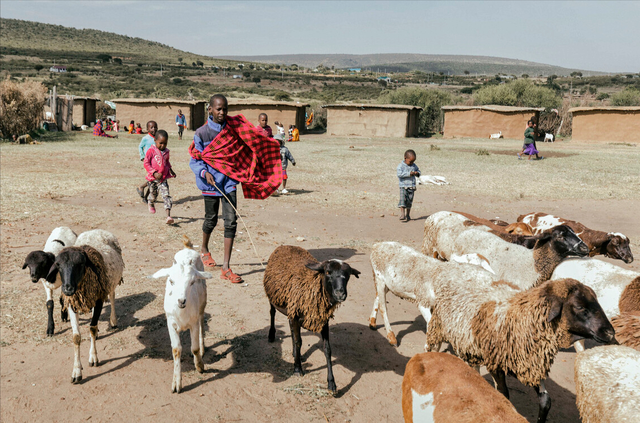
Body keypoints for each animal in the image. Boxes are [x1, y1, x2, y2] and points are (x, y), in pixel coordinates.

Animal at [46, 230, 124, 386]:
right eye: (58, 265)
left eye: (80, 264)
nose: (67, 289)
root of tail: (96, 230)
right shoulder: (72, 304)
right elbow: (76, 337)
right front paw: (77, 371)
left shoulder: (99, 299)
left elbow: (92, 328)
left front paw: (93, 358)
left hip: (110, 284)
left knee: (112, 296)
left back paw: (113, 321)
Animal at [152, 238, 212, 394]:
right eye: (171, 281)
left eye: (192, 282)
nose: (181, 301)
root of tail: (188, 249)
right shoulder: (170, 323)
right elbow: (176, 350)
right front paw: (176, 383)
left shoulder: (193, 323)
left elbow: (194, 348)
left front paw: (199, 366)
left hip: (202, 303)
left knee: (202, 323)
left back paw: (203, 348)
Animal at [262, 247, 360, 396]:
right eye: (327, 272)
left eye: (348, 275)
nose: (340, 294)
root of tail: (285, 245)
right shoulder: (296, 316)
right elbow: (298, 342)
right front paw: (297, 369)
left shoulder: (322, 320)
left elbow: (327, 349)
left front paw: (331, 384)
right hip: (275, 298)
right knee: (272, 313)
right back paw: (272, 335)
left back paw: (295, 354)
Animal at [368, 242, 498, 352]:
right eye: (477, 268)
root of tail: (377, 245)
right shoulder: (423, 302)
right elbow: (431, 325)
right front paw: (429, 348)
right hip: (379, 277)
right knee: (383, 307)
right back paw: (391, 337)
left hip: (387, 284)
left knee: (377, 298)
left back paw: (372, 322)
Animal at [424, 278, 616, 423]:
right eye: (579, 306)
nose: (610, 333)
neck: (523, 317)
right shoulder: (496, 363)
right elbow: (503, 394)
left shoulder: (532, 364)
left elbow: (545, 401)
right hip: (437, 329)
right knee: (429, 349)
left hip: (469, 345)